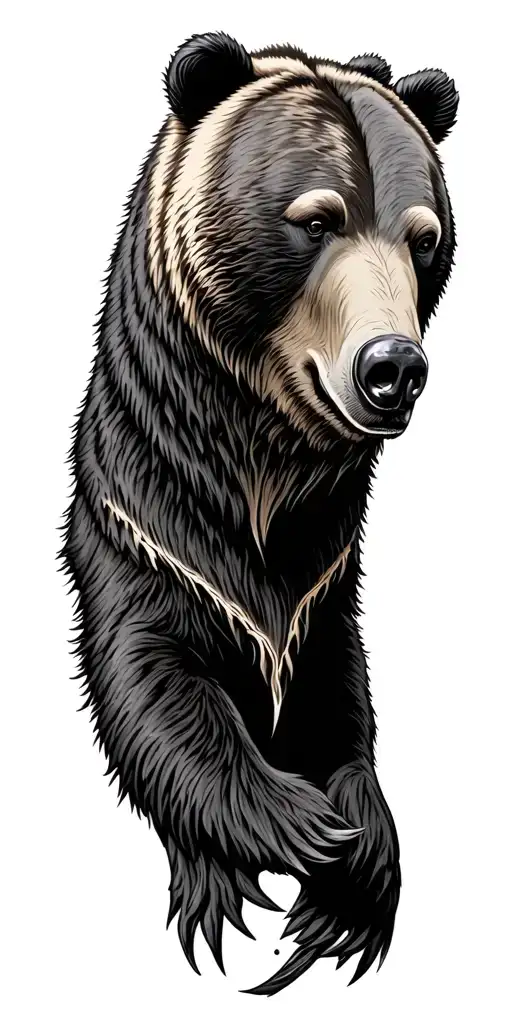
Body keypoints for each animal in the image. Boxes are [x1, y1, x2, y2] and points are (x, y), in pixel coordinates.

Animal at [62, 31, 458, 995]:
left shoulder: (323, 569)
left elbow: (339, 698)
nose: (394, 366)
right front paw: (303, 826)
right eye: (315, 219)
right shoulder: (152, 524)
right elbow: (154, 683)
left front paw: (354, 865)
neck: (261, 458)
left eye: (423, 238)